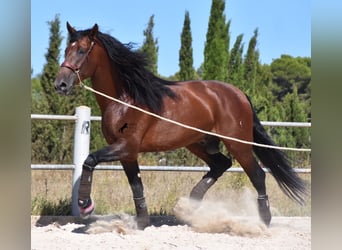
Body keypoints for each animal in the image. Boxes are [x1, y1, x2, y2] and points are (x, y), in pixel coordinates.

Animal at [54, 22, 308, 229]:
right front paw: (141, 222)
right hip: (197, 142)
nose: (60, 84)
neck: (125, 100)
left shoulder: (126, 146)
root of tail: (239, 94)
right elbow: (136, 186)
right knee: (221, 164)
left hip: (238, 144)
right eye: (66, 50)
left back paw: (263, 220)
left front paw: (85, 205)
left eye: (82, 50)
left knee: (257, 175)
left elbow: (89, 160)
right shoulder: (128, 153)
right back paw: (189, 206)